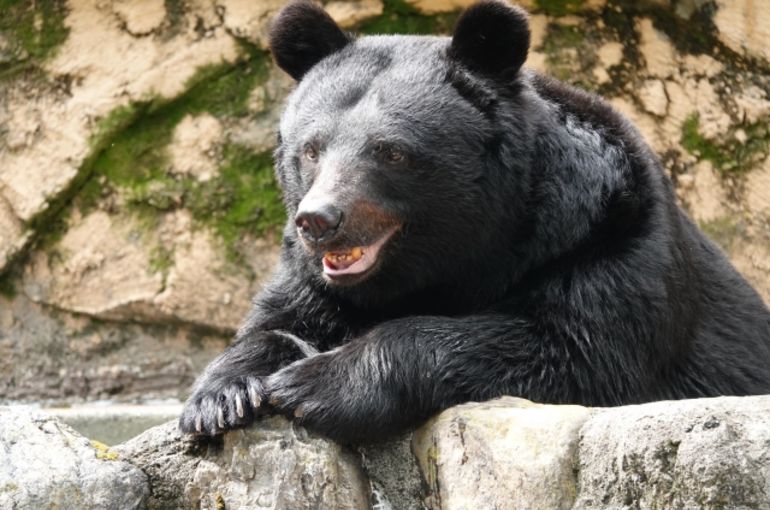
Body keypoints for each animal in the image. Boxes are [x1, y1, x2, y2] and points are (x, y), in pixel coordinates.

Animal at [179, 0, 770, 443]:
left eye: (392, 152)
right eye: (311, 149)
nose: (319, 220)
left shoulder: (609, 242)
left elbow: (573, 352)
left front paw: (314, 384)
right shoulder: (310, 278)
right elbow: (276, 320)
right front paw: (224, 395)